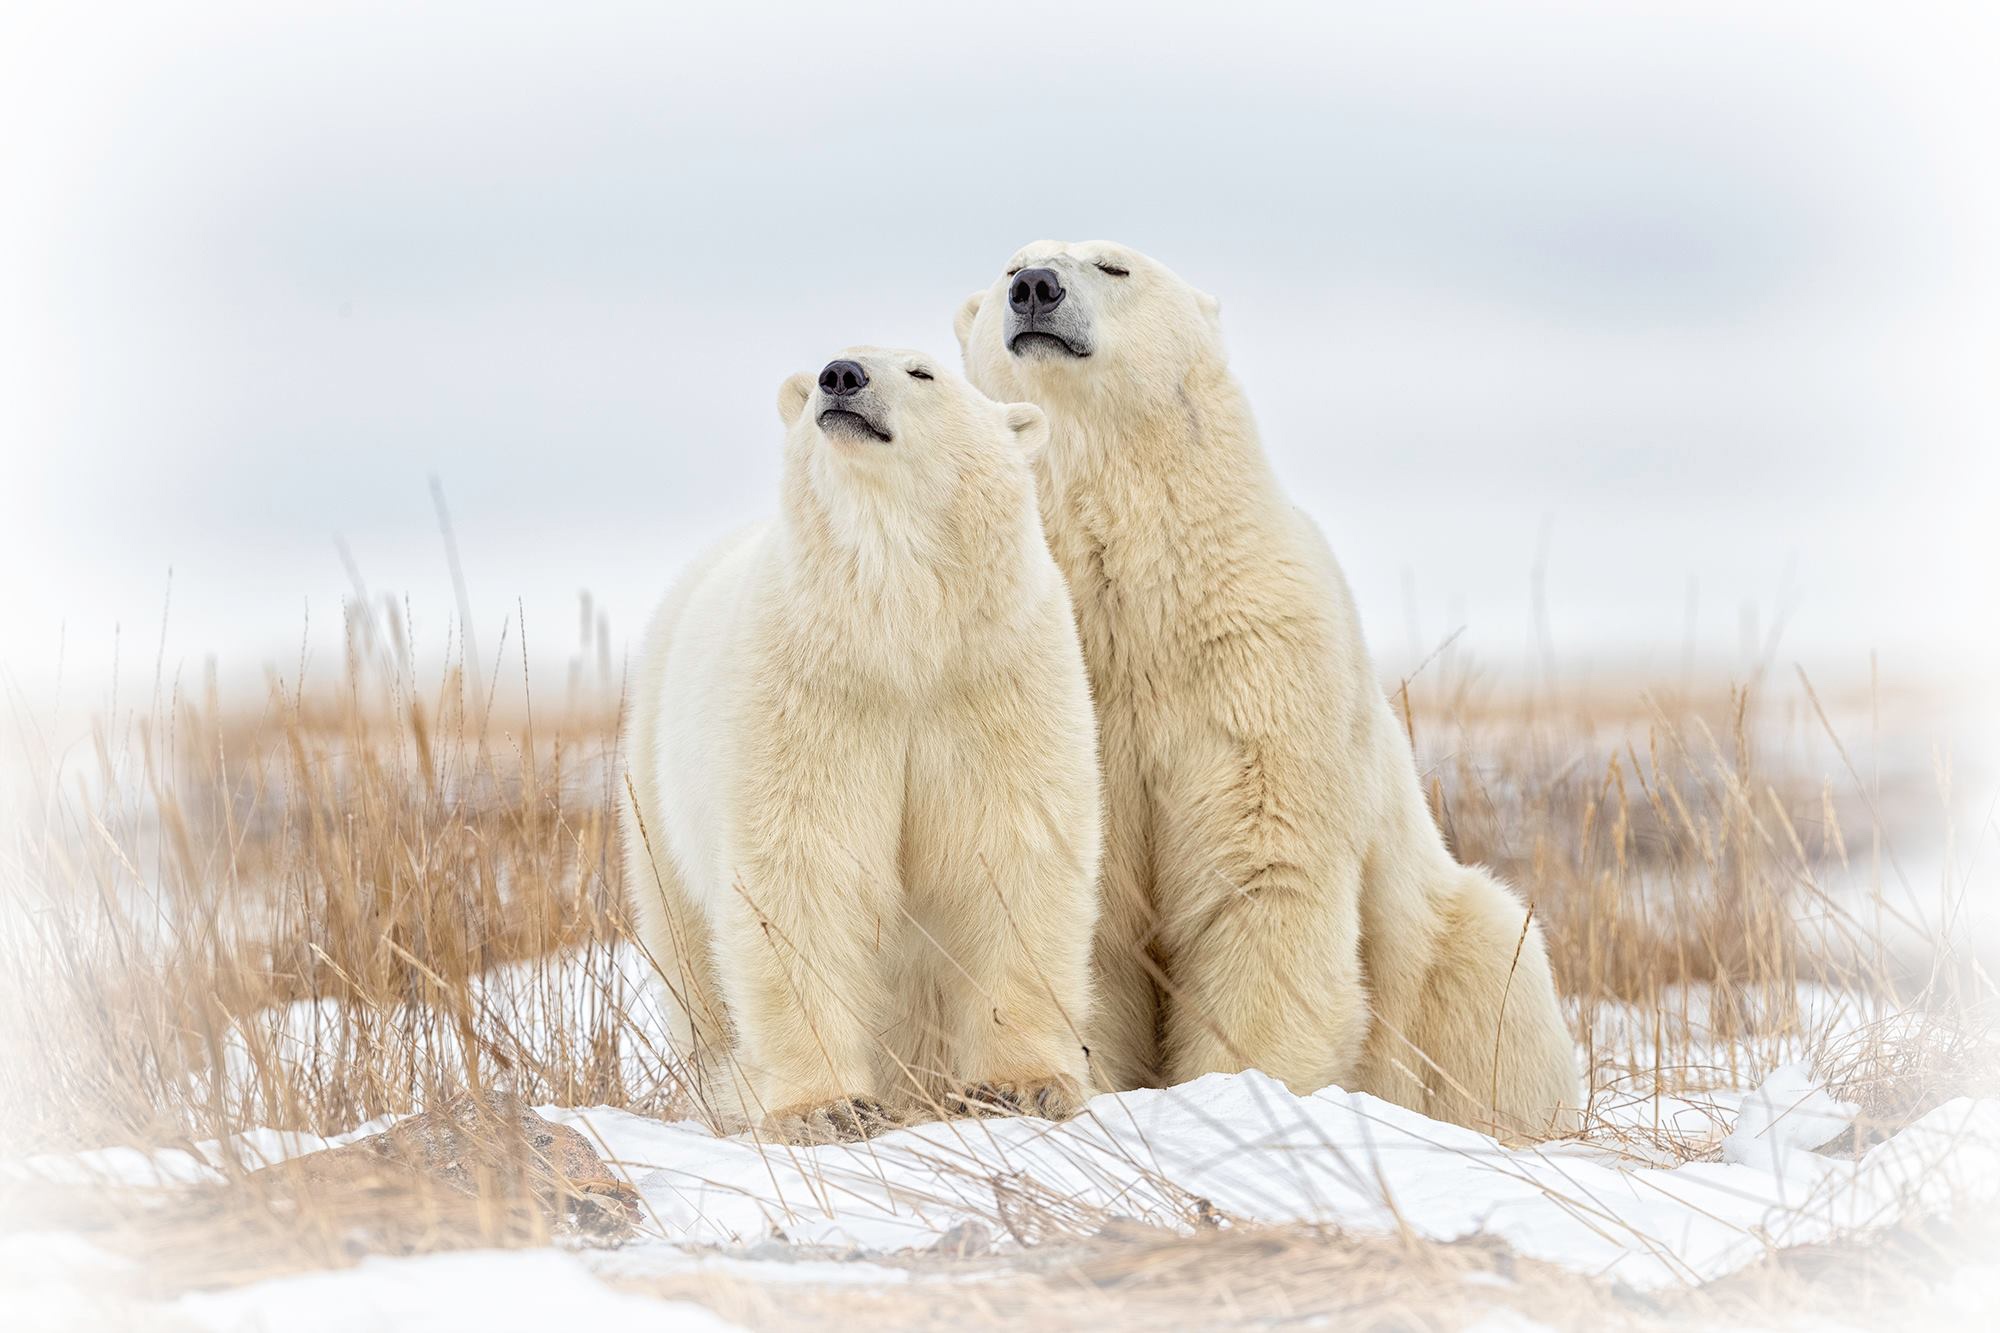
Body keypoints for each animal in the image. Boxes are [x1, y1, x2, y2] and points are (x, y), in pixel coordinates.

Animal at [620, 350, 1104, 1144]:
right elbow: (801, 874)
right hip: (653, 794)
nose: (840, 376)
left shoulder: (994, 680)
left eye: (922, 372)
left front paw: (1021, 1087)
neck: (897, 632)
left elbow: (1012, 855)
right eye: (826, 363)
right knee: (688, 957)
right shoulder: (809, 693)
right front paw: (828, 1106)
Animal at [960, 244, 1584, 1136]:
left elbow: (1262, 868)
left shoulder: (1259, 657)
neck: (1141, 599)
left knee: (1497, 972)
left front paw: (1241, 1089)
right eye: (1009, 264)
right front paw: (1045, 1084)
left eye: (1113, 266)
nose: (1035, 289)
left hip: (1452, 953)